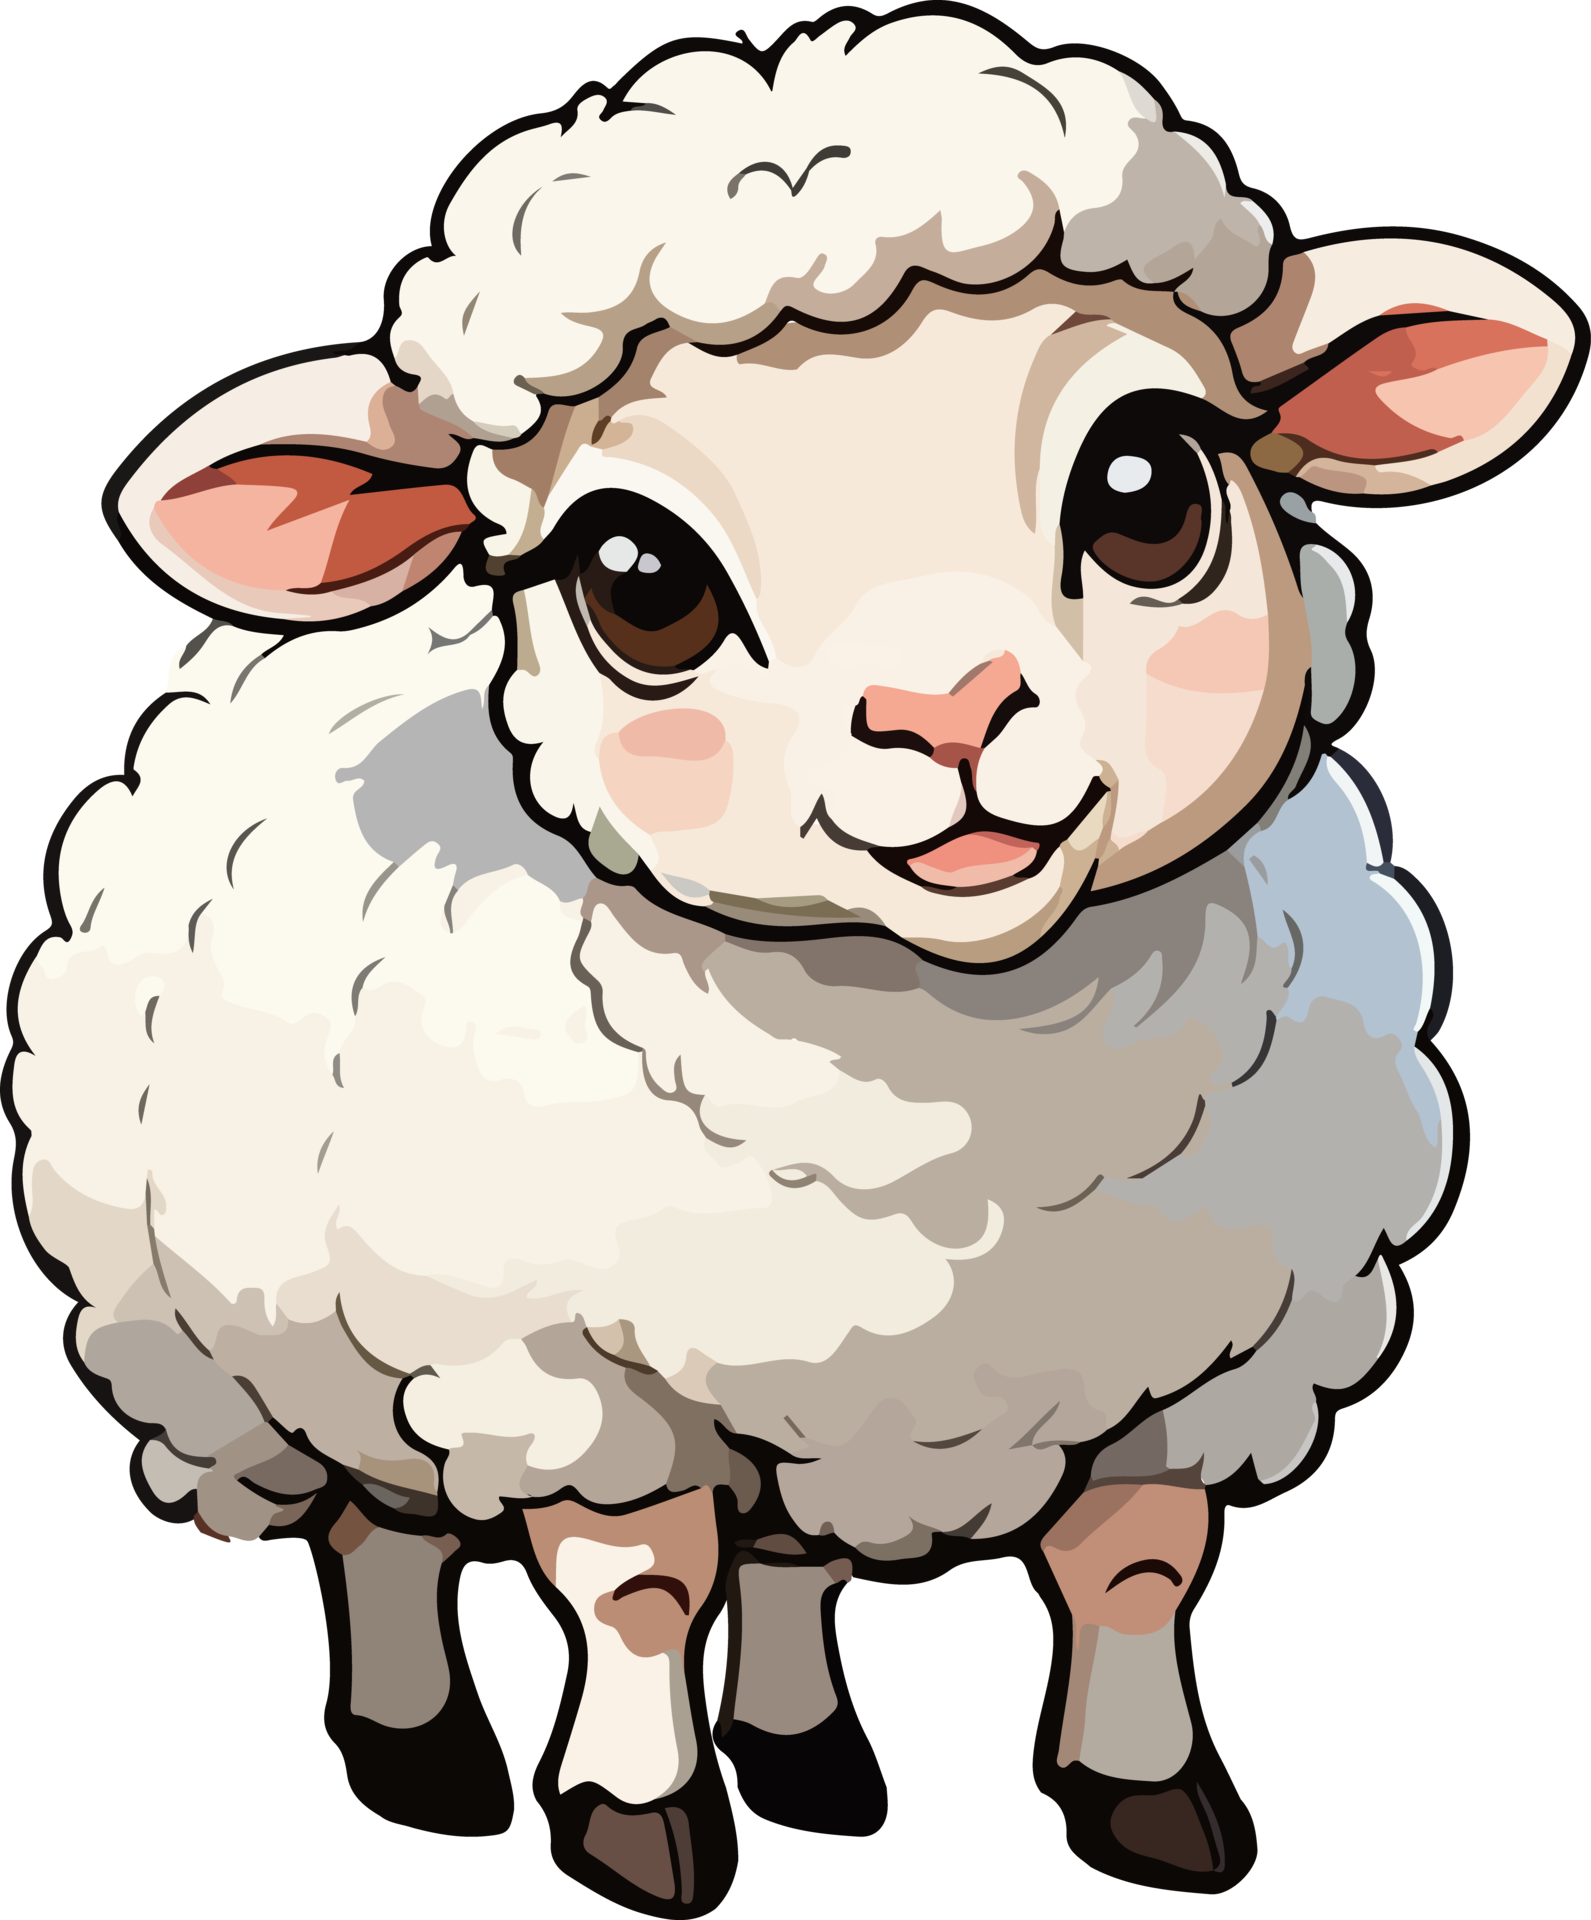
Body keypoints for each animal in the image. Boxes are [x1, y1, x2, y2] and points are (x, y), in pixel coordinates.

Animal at [12, 12, 1571, 1912]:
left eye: (1146, 487)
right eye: (636, 579)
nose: (947, 714)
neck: (956, 1088)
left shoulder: (1215, 1366)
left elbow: (1132, 1569)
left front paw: (1147, 1796)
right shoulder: (565, 1380)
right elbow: (634, 1594)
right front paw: (633, 1821)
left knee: (779, 1560)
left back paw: (796, 1714)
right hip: (282, 1372)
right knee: (388, 1534)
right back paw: (405, 1712)